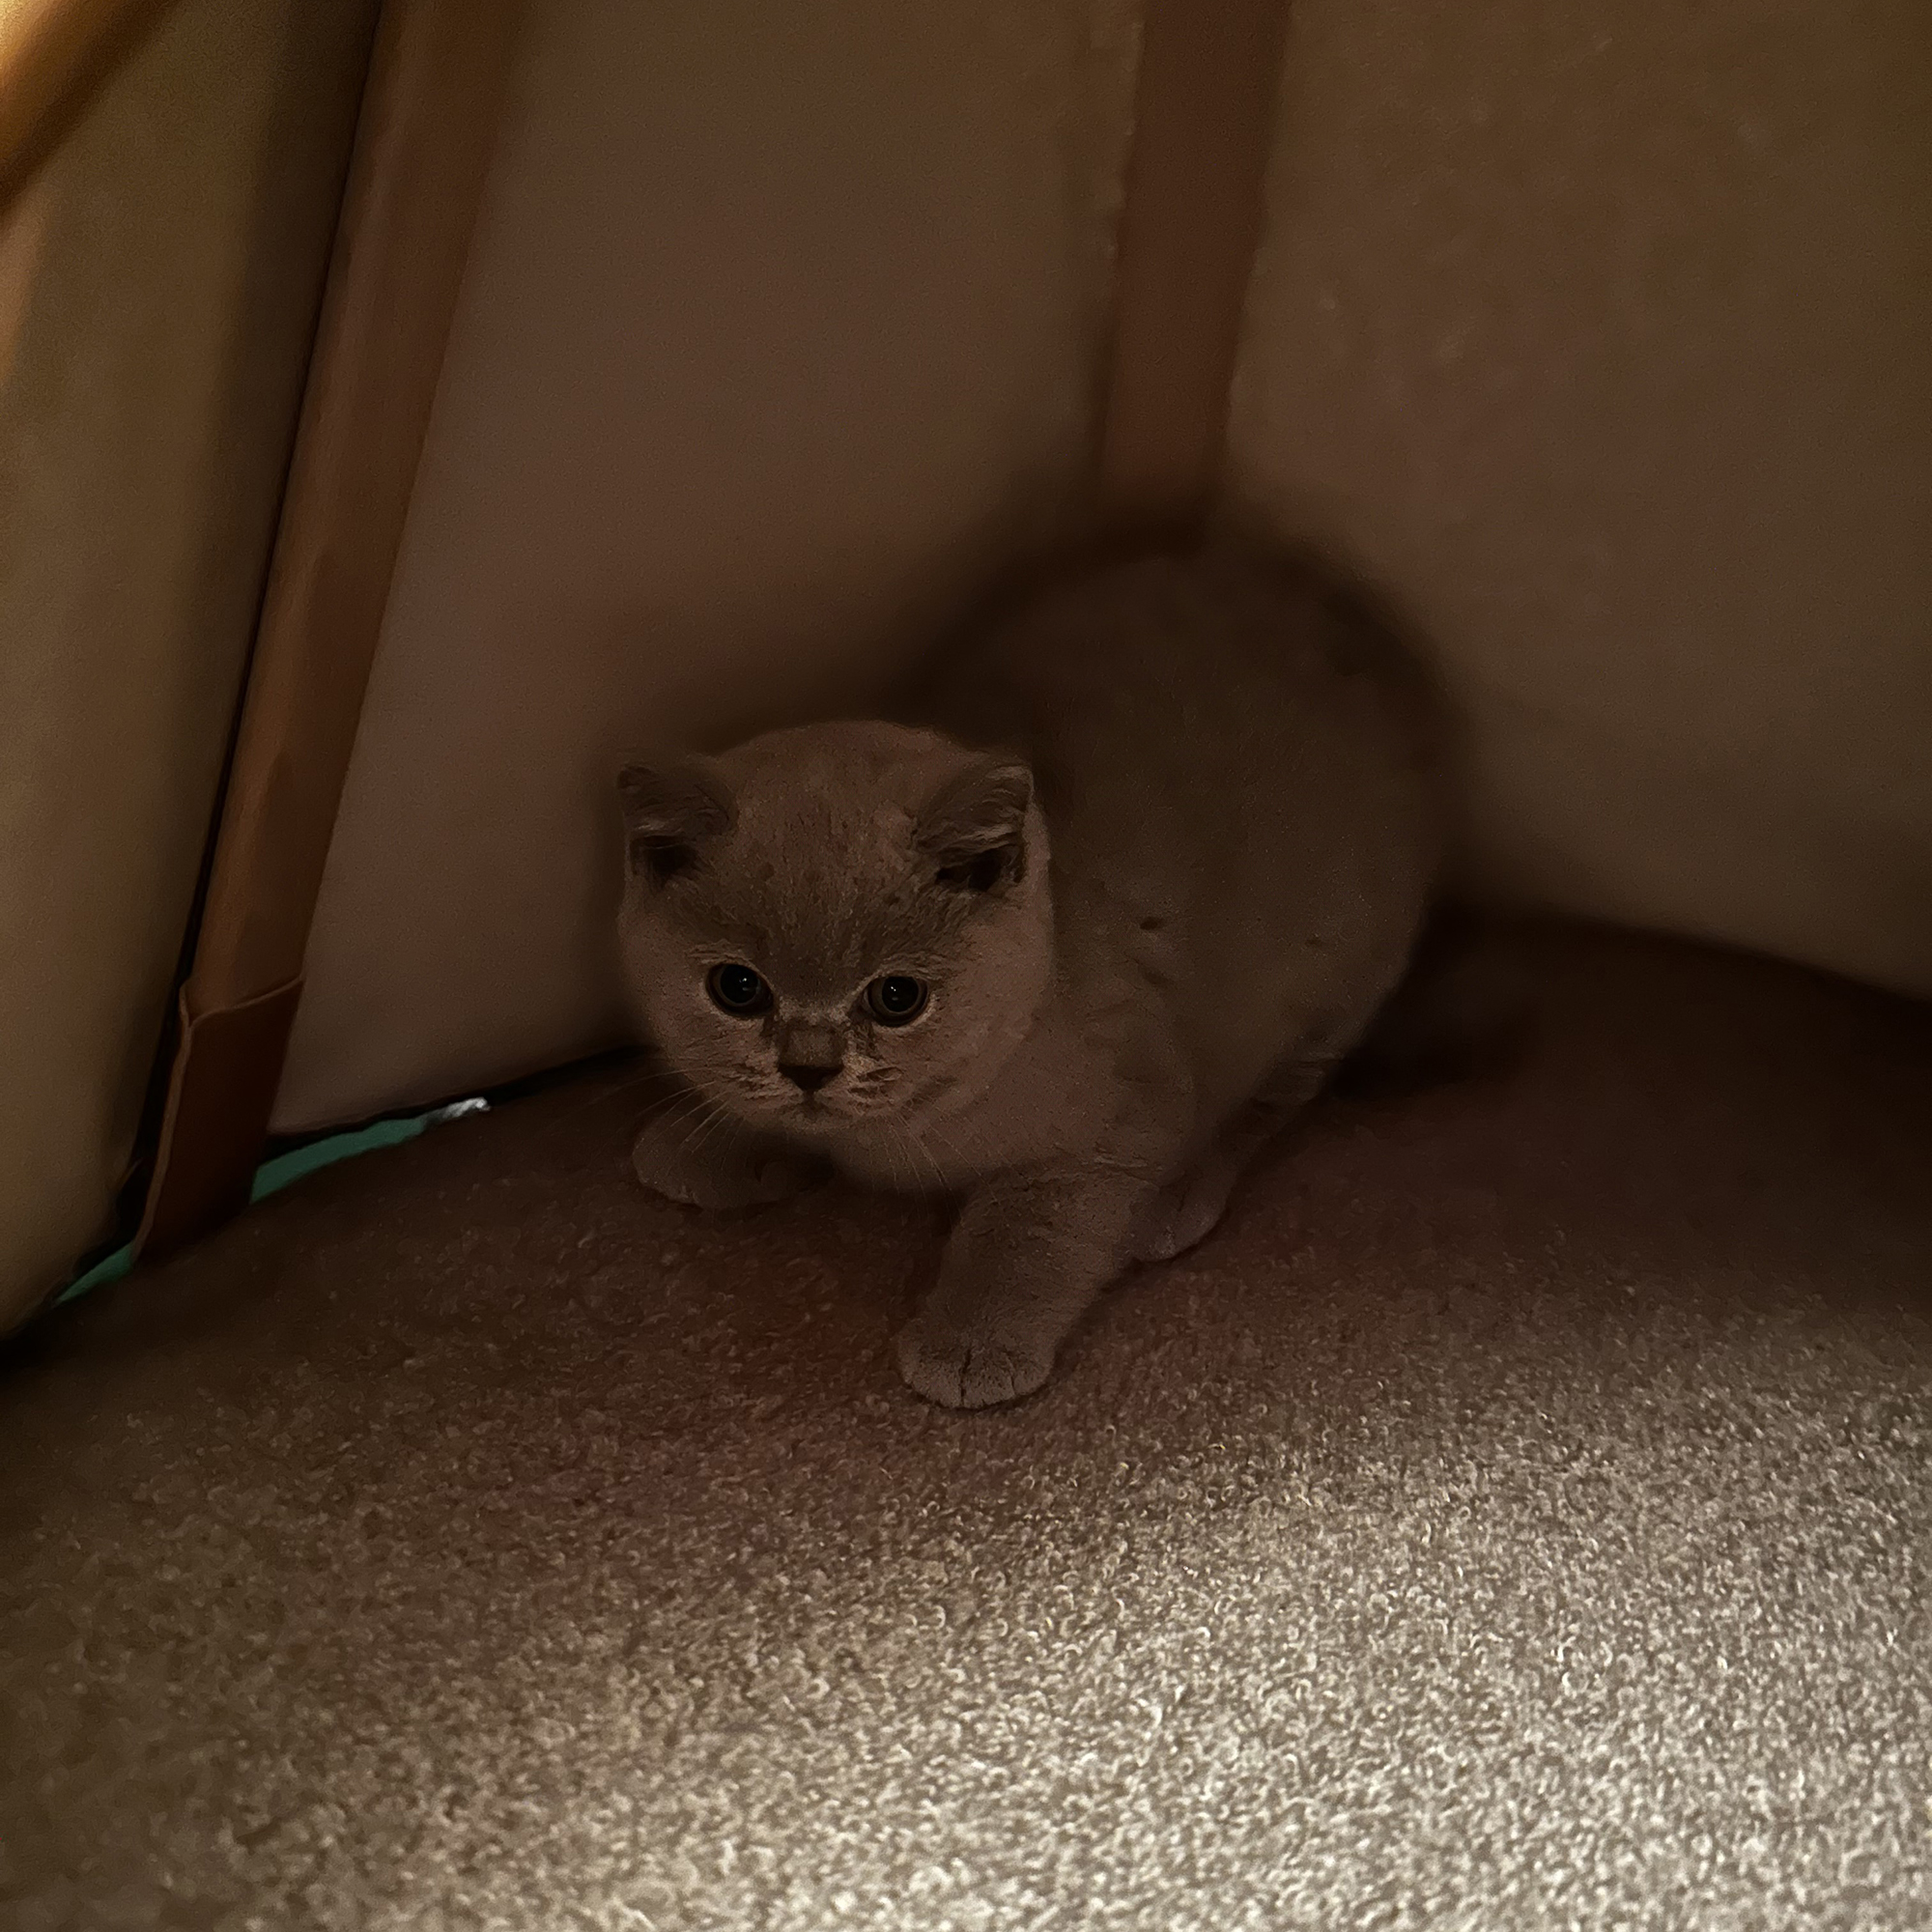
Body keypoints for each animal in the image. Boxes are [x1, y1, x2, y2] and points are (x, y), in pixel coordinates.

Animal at [618, 541, 1453, 1406]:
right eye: (738, 989)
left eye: (896, 998)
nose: (809, 1066)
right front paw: (719, 1141)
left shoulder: (1123, 1112)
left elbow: (1034, 1229)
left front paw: (974, 1341)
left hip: (1339, 976)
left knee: (1277, 1095)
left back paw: (1178, 1197)